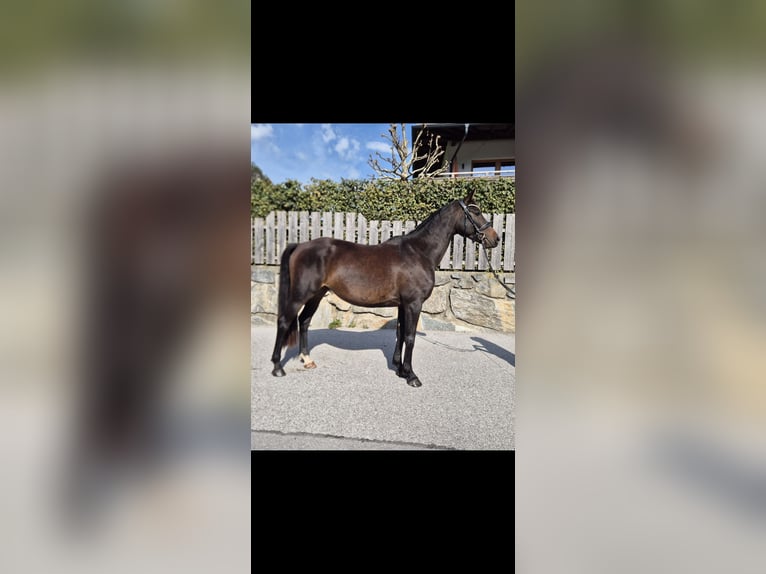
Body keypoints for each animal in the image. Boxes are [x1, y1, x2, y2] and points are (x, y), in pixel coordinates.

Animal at [270, 190, 500, 387]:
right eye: (476, 211)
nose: (495, 238)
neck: (418, 252)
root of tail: (300, 245)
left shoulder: (403, 304)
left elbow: (400, 333)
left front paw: (400, 369)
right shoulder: (413, 304)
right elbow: (410, 337)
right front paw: (412, 376)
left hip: (317, 294)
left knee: (304, 321)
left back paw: (307, 360)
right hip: (300, 294)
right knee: (285, 321)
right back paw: (277, 367)